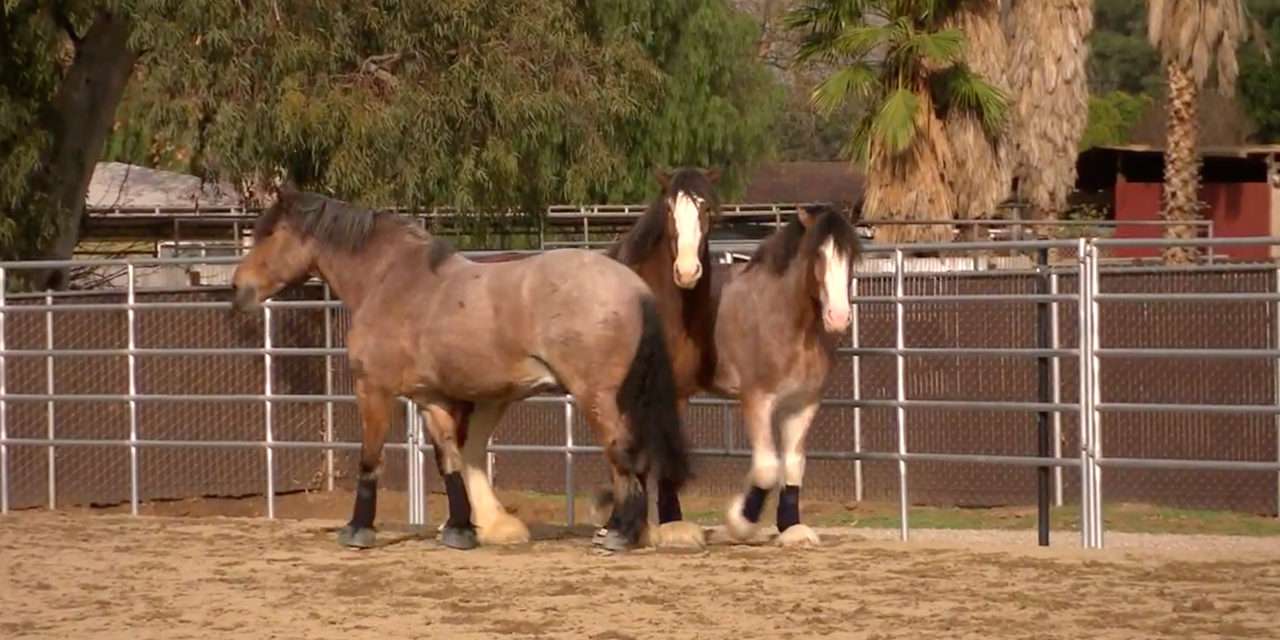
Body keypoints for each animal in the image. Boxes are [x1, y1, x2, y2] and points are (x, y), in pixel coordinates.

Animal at [229, 188, 691, 550]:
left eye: (270, 233)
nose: (238, 288)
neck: (391, 282)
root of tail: (632, 287)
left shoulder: (373, 390)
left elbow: (370, 458)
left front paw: (358, 529)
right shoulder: (429, 397)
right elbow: (448, 459)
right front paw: (459, 529)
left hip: (598, 397)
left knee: (623, 451)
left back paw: (620, 534)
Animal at [711, 204, 860, 545]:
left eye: (851, 255)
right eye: (818, 255)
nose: (838, 317)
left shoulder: (803, 403)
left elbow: (792, 465)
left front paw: (792, 527)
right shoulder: (757, 399)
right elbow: (767, 468)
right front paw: (739, 521)